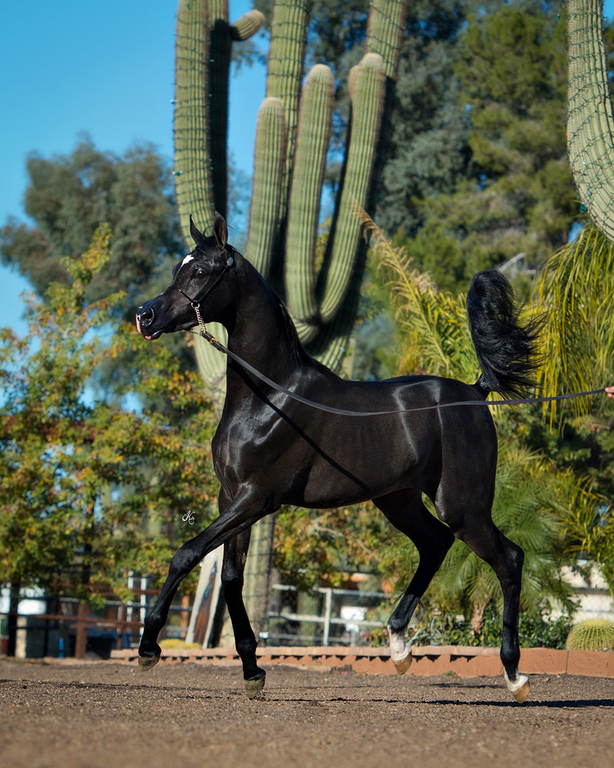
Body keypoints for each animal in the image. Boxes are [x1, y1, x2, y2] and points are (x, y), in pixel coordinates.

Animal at [135, 212, 541, 703]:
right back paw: (399, 646)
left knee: (509, 559)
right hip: (399, 500)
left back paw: (514, 675)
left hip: (464, 507)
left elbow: (187, 553)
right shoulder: (230, 499)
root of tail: (476, 393)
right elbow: (231, 580)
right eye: (180, 265)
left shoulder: (257, 499)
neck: (270, 397)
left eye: (198, 271)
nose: (144, 316)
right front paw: (253, 671)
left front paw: (149, 648)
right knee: (434, 544)